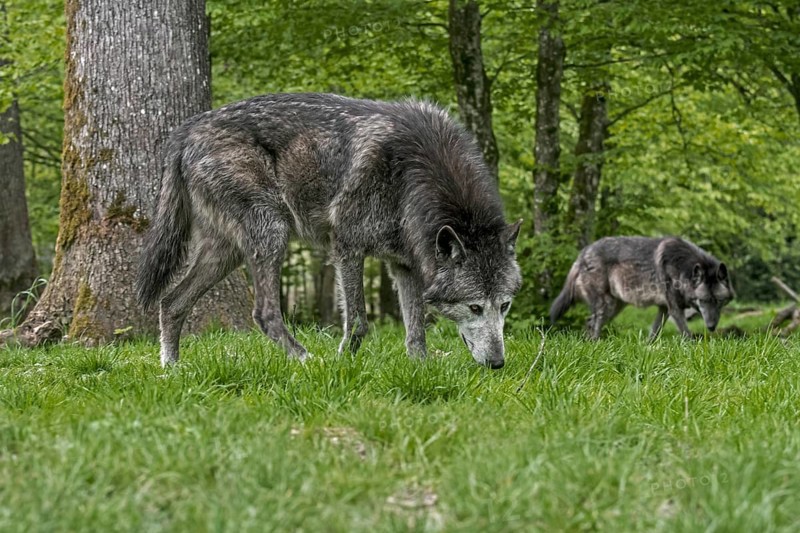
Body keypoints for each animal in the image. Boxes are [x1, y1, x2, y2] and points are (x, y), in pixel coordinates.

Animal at [136, 93, 522, 368]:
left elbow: (416, 330)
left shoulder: (404, 265)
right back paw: (307, 361)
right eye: (474, 307)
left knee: (171, 302)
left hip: (225, 253)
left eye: (504, 305)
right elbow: (359, 322)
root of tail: (186, 129)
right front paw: (343, 365)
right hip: (272, 232)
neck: (414, 174)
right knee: (264, 313)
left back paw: (171, 370)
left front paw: (421, 370)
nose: (498, 364)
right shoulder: (347, 247)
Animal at [550, 236, 733, 339]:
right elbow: (687, 335)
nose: (711, 327)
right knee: (592, 323)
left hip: (614, 308)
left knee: (589, 322)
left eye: (718, 301)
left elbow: (654, 333)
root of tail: (582, 254)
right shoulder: (675, 309)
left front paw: (648, 350)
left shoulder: (664, 309)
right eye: (703, 300)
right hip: (606, 305)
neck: (682, 269)